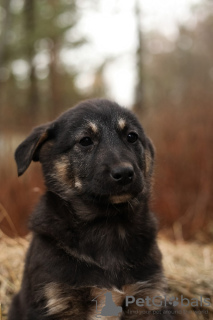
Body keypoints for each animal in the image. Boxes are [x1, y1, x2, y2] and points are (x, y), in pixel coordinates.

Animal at [8, 99, 176, 318]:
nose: (124, 173)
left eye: (132, 137)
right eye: (85, 141)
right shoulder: (55, 299)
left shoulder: (147, 297)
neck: (108, 224)